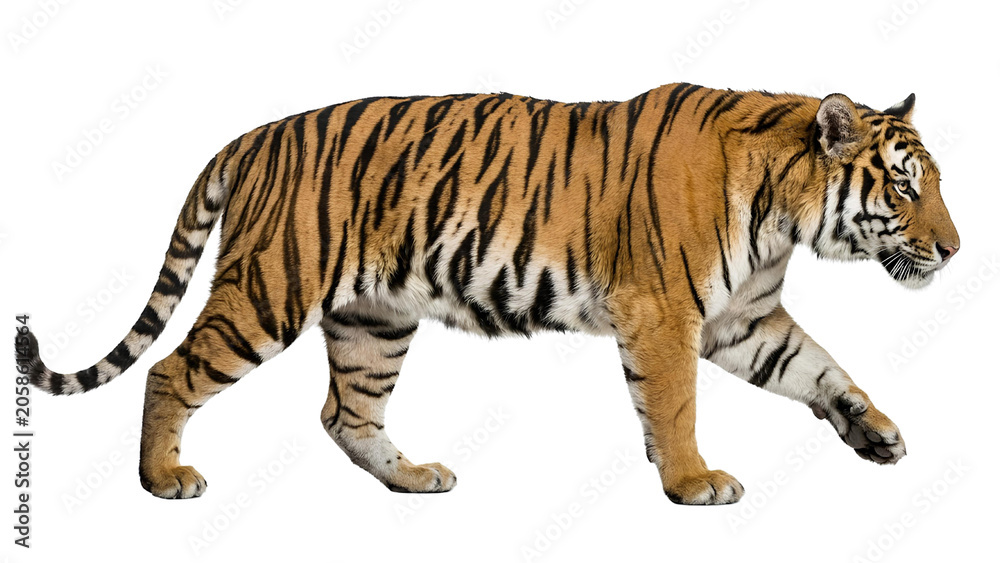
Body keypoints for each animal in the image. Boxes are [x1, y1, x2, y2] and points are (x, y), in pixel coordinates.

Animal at [18, 82, 959, 504]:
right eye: (905, 187)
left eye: (934, 184)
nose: (954, 250)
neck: (784, 210)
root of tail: (251, 136)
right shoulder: (667, 315)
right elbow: (676, 405)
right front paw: (693, 481)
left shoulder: (743, 318)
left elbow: (821, 367)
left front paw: (875, 431)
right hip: (269, 289)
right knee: (170, 371)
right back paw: (162, 477)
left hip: (373, 320)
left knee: (345, 413)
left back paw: (413, 477)